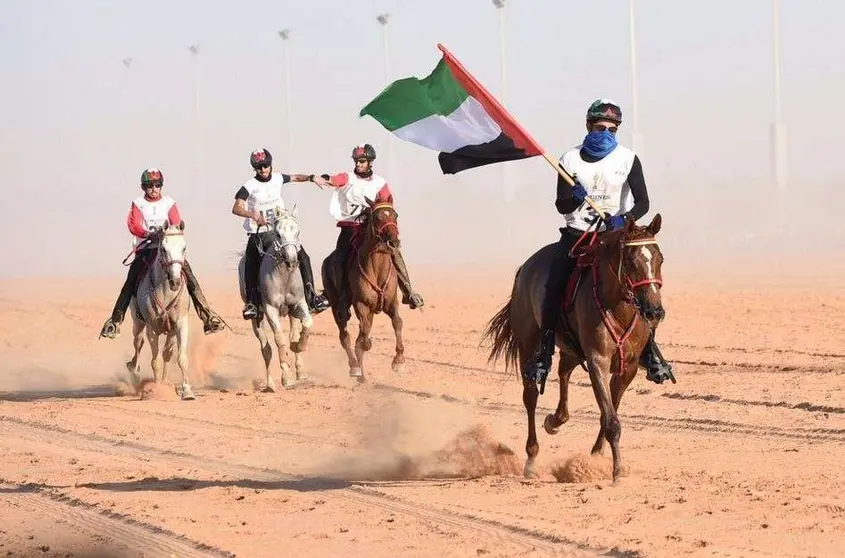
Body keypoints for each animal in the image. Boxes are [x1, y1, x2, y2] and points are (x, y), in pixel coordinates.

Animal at [124, 221, 195, 400]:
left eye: (184, 247)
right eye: (163, 248)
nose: (175, 281)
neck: (166, 292)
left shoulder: (180, 325)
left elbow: (180, 358)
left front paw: (187, 391)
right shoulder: (152, 328)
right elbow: (155, 361)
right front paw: (155, 390)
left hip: (170, 332)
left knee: (166, 354)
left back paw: (165, 382)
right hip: (138, 323)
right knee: (138, 343)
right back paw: (135, 371)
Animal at [237, 206, 314, 394]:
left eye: (297, 232)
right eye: (278, 234)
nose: (292, 259)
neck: (284, 275)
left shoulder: (299, 304)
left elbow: (307, 324)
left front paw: (298, 346)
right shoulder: (270, 309)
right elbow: (279, 339)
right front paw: (286, 378)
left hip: (291, 313)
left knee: (293, 334)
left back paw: (301, 372)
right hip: (257, 318)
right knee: (266, 349)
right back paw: (270, 384)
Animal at [320, 198, 406, 384]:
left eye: (395, 215)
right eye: (377, 217)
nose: (394, 243)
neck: (377, 269)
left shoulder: (391, 303)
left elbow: (397, 322)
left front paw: (398, 361)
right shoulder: (361, 305)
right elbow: (363, 334)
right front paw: (368, 344)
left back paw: (362, 376)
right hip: (337, 307)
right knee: (344, 337)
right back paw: (355, 368)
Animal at [482, 215, 664, 486]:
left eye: (660, 259)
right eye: (632, 261)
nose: (655, 311)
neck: (617, 305)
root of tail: (524, 269)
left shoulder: (627, 367)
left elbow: (608, 413)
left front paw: (596, 458)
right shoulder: (598, 360)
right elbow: (611, 421)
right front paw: (617, 473)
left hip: (571, 348)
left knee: (563, 372)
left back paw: (555, 420)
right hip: (529, 343)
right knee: (531, 396)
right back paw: (531, 459)